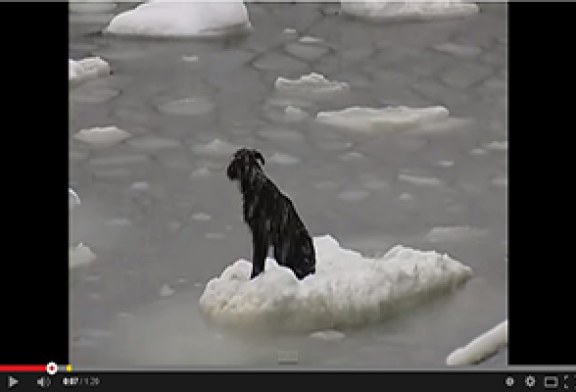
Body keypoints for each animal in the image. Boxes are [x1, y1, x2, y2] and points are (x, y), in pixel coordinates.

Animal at [226, 149, 316, 280]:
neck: (254, 183)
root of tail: (313, 265)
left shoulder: (261, 233)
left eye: (237, 159)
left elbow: (258, 261)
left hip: (282, 252)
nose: (229, 170)